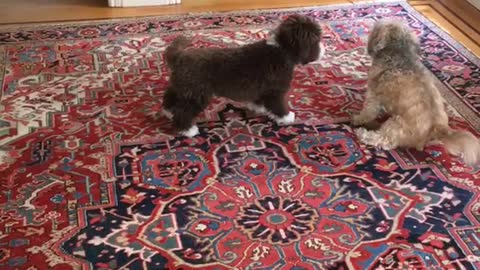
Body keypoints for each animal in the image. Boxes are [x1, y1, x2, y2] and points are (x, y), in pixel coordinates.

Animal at [161, 14, 322, 137]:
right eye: (316, 40)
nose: (323, 49)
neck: (281, 50)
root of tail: (179, 56)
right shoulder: (275, 91)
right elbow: (279, 106)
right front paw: (287, 118)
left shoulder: (263, 89)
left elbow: (259, 100)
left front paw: (259, 108)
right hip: (196, 95)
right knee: (184, 112)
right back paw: (188, 130)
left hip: (182, 88)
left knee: (170, 97)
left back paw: (168, 112)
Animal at [352, 20, 480, 166]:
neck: (398, 54)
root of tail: (437, 128)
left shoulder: (373, 95)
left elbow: (368, 112)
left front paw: (357, 119)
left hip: (395, 124)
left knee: (384, 140)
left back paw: (363, 134)